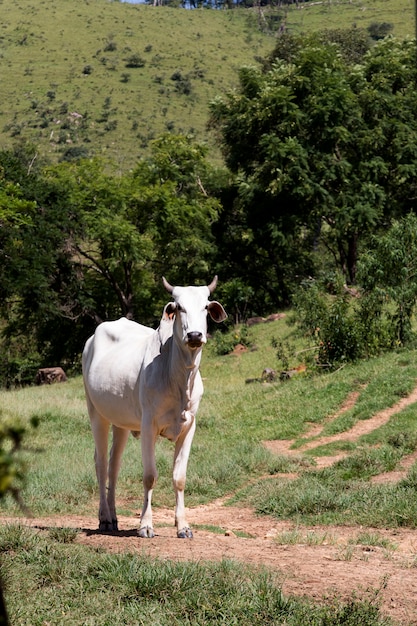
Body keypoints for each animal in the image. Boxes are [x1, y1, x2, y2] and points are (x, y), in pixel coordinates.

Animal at [81, 276, 228, 536]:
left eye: (205, 307)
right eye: (179, 307)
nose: (194, 335)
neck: (179, 378)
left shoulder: (189, 426)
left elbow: (179, 477)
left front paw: (183, 526)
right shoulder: (149, 425)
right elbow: (149, 476)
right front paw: (146, 525)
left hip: (121, 422)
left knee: (113, 465)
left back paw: (114, 517)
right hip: (97, 413)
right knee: (101, 463)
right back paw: (105, 518)